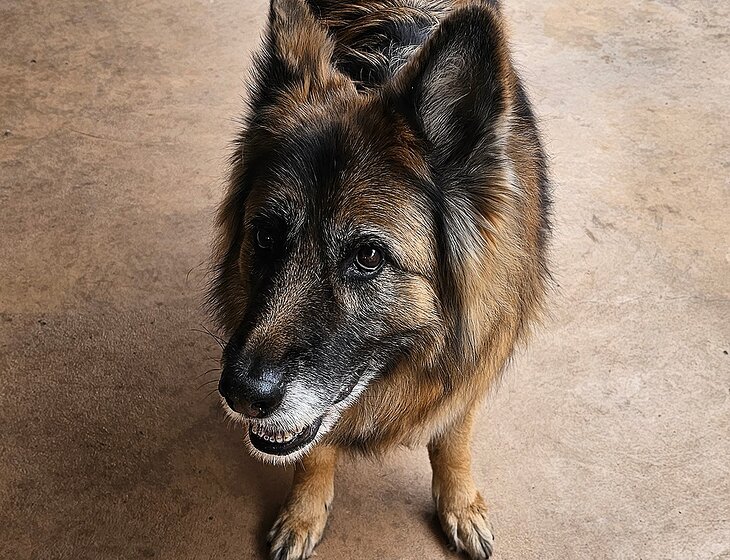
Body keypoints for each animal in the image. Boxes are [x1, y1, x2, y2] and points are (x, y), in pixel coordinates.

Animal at [209, 1, 551, 558]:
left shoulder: (473, 357)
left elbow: (453, 434)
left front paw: (460, 503)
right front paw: (305, 510)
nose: (240, 396)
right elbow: (315, 447)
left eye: (368, 256)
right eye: (264, 236)